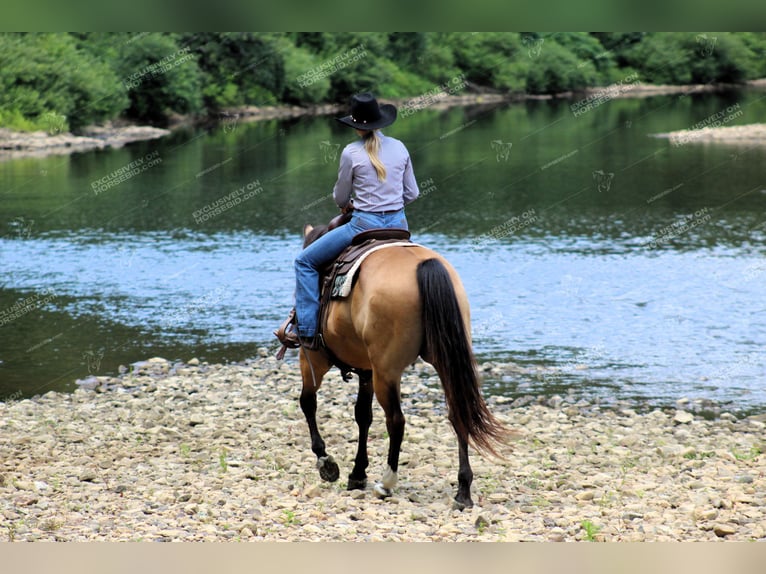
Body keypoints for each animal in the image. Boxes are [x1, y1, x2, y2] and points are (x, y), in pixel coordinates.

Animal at [292, 223, 508, 510]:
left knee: (395, 420)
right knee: (457, 414)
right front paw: (357, 473)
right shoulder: (367, 369)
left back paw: (386, 483)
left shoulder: (314, 358)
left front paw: (326, 462)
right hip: (441, 362)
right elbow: (363, 415)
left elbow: (308, 402)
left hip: (387, 371)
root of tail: (424, 266)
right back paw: (463, 491)